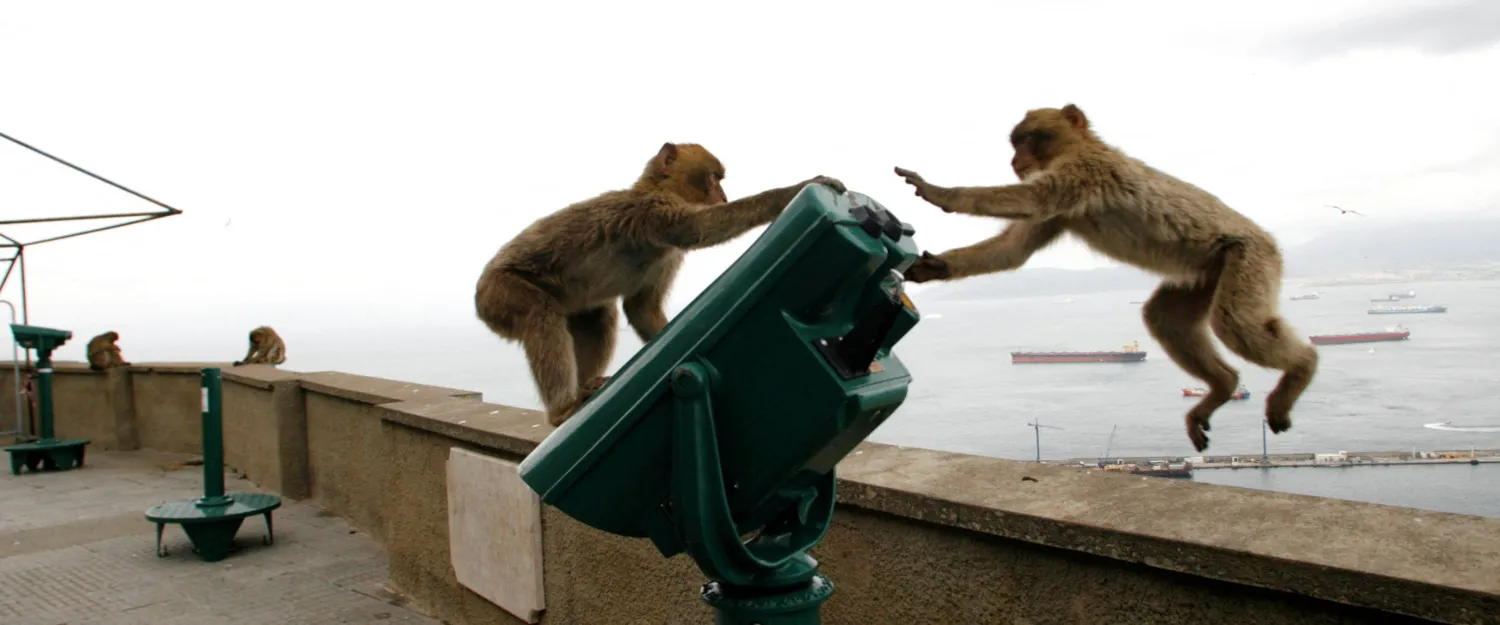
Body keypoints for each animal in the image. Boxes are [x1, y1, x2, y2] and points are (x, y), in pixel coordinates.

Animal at [475, 142, 845, 426]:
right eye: (713, 177)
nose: (724, 196)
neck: (657, 189)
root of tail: (479, 297)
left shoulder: (668, 254)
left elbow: (642, 307)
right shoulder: (652, 212)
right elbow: (699, 229)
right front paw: (792, 191)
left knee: (599, 316)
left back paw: (586, 388)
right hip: (500, 292)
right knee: (540, 314)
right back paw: (562, 410)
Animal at [894, 104, 1318, 452]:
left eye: (1029, 138)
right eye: (1016, 142)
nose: (1016, 159)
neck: (1077, 149)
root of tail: (1270, 243)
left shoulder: (1084, 170)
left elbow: (1036, 199)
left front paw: (939, 192)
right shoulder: (1066, 202)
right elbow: (1014, 250)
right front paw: (936, 267)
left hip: (1249, 257)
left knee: (1234, 322)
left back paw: (1303, 366)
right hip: (1206, 272)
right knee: (1164, 317)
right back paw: (1224, 386)